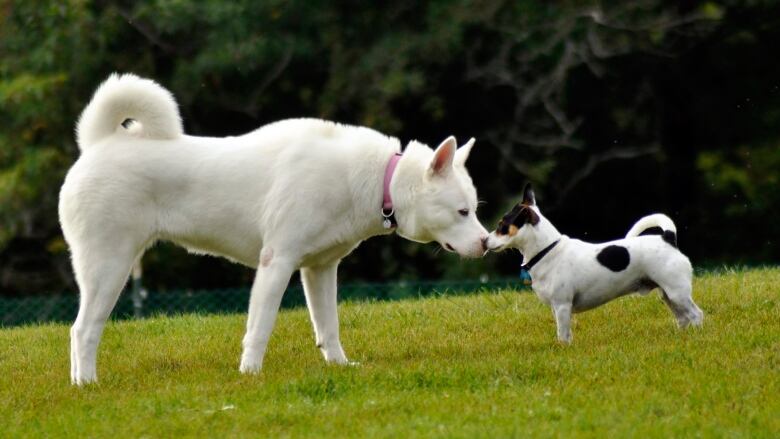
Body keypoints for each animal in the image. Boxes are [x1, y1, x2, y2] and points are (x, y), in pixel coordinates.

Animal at [61, 74, 488, 386]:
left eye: (474, 210)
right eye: (462, 211)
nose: (487, 242)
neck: (375, 179)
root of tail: (99, 144)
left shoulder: (320, 270)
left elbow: (328, 327)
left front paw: (339, 366)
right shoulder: (277, 263)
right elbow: (260, 328)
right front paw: (250, 374)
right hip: (109, 268)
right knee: (82, 330)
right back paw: (87, 384)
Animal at [484, 183, 704, 344]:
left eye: (502, 226)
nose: (484, 241)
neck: (547, 250)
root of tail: (668, 238)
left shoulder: (562, 305)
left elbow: (563, 333)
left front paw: (563, 348)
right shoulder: (557, 308)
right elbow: (563, 332)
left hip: (677, 292)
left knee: (696, 314)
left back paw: (697, 335)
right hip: (667, 294)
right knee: (683, 317)